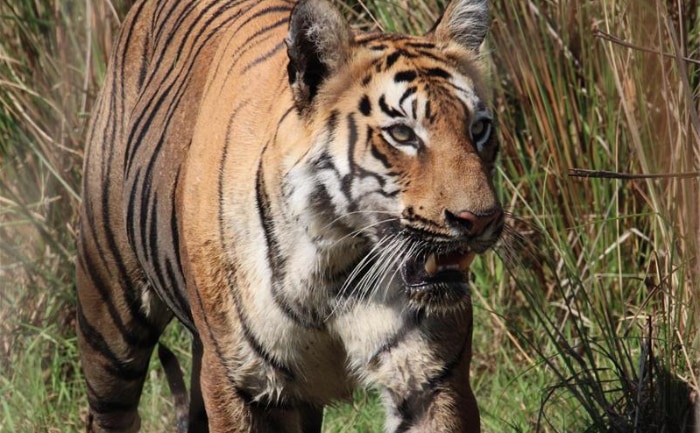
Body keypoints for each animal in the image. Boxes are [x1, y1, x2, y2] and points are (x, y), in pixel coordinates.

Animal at [76, 0, 504, 432]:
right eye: (402, 134)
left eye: (479, 129)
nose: (479, 219)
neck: (337, 265)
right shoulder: (241, 384)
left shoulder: (432, 378)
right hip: (108, 312)